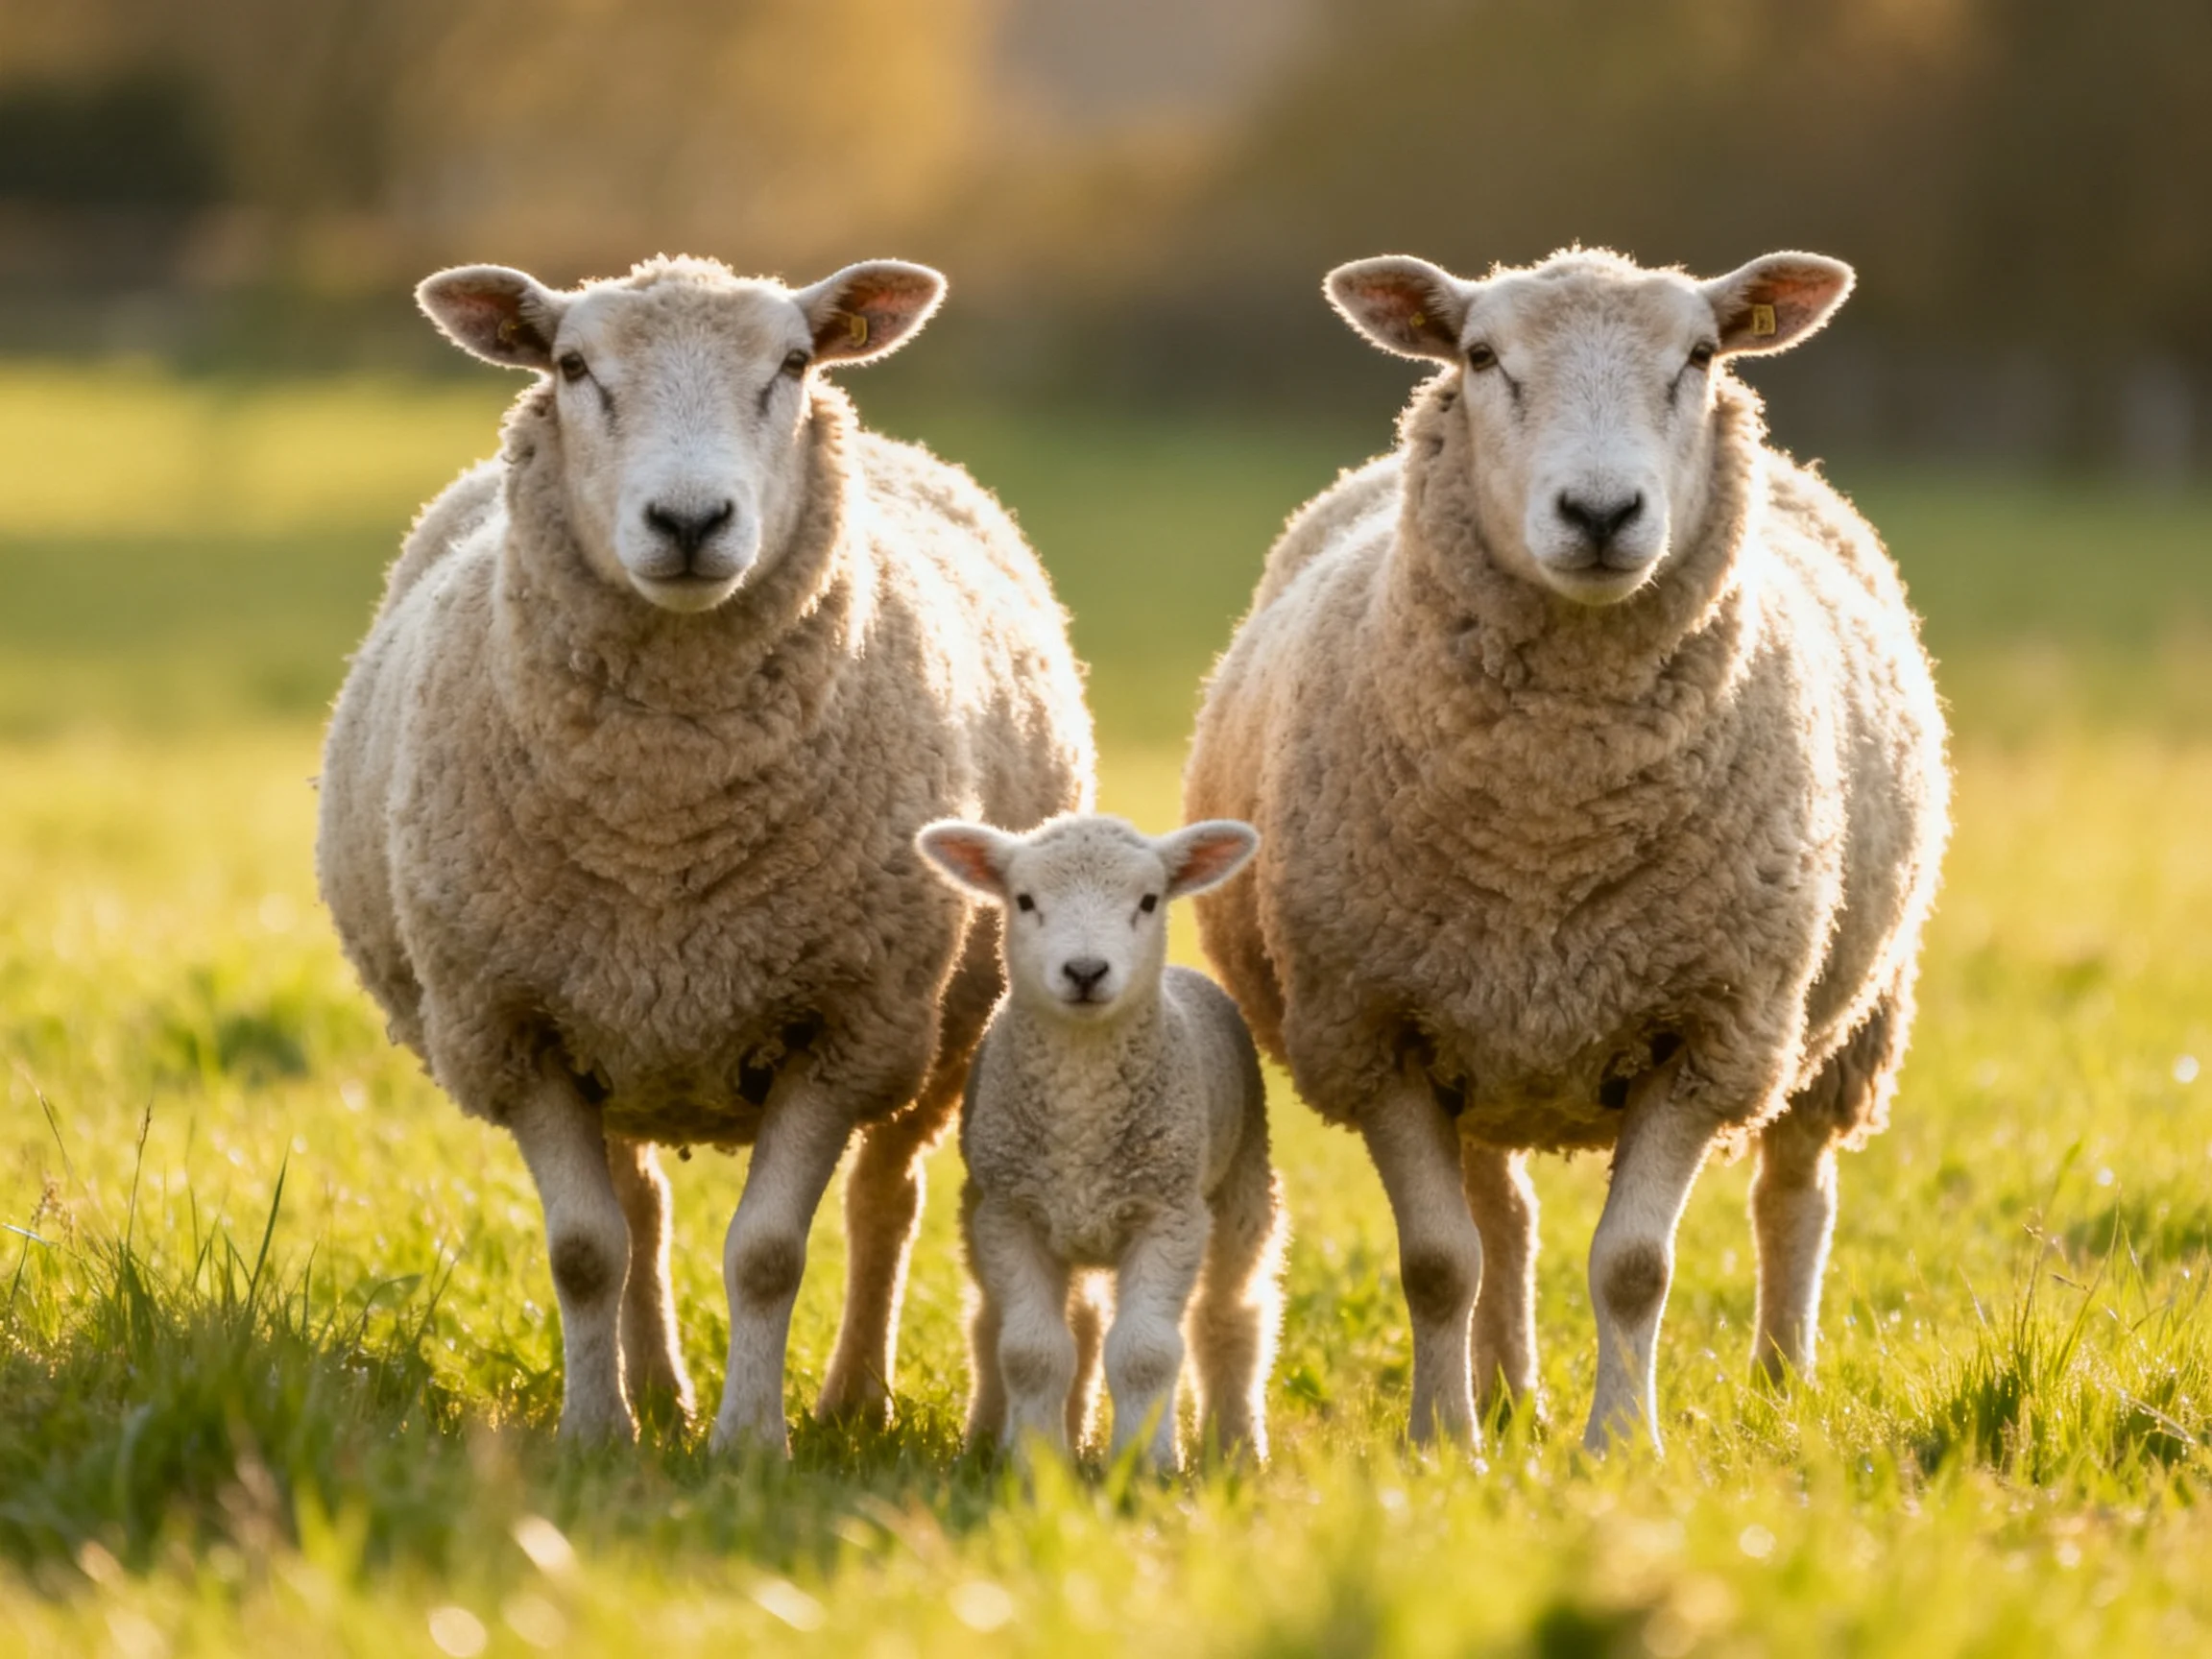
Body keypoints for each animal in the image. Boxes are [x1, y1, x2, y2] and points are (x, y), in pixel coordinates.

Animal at [316, 254, 1094, 1450]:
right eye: (572, 366)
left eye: (794, 363)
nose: (690, 519)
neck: (664, 829)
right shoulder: (515, 1026)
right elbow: (585, 1250)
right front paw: (598, 1433)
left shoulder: (847, 1027)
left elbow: (769, 1254)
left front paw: (751, 1444)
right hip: (614, 1031)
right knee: (640, 1209)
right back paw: (657, 1391)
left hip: (936, 1033)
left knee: (885, 1202)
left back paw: (852, 1401)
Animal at [916, 814, 1286, 1468]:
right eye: (1024, 900)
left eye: (1149, 900)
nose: (1086, 971)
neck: (1081, 1099)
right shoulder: (1011, 1212)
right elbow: (1031, 1353)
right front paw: (1035, 1463)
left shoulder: (1169, 1213)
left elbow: (1145, 1353)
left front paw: (1148, 1464)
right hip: (984, 1213)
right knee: (1005, 1324)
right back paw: (992, 1436)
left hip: (1243, 1191)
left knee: (1230, 1319)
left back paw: (1239, 1446)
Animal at [1183, 247, 1949, 1454]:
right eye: (1481, 356)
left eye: (1701, 355)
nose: (1600, 511)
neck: (1553, 825)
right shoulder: (1377, 1029)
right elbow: (1437, 1262)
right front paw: (1442, 1442)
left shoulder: (1712, 1032)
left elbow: (1635, 1267)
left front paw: (1621, 1445)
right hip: (1485, 1034)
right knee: (1503, 1218)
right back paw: (1506, 1394)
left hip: (1843, 1021)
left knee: (1794, 1189)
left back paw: (1783, 1379)